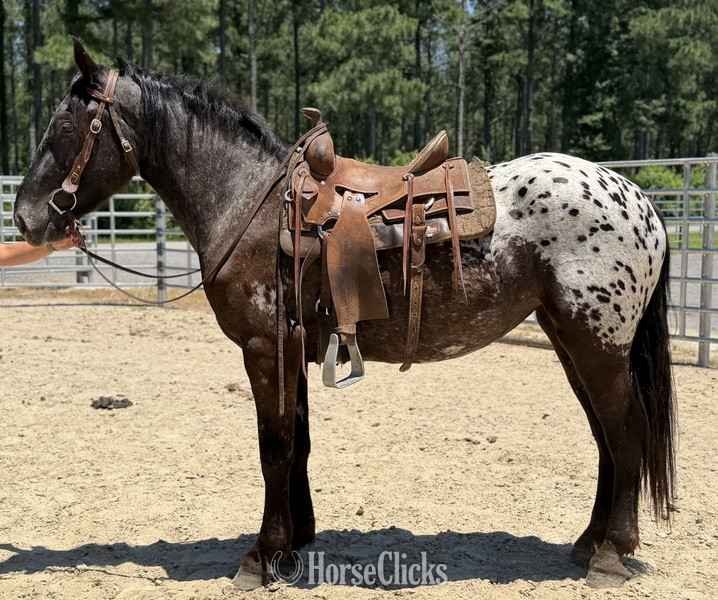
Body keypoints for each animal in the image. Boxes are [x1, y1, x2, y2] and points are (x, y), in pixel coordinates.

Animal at [14, 40, 675, 590]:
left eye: (64, 125)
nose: (25, 217)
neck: (248, 203)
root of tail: (639, 200)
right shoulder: (293, 351)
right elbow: (297, 444)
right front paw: (293, 546)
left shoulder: (264, 349)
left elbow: (274, 448)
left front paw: (260, 557)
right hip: (571, 343)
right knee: (607, 437)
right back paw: (588, 544)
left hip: (597, 346)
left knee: (627, 431)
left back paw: (610, 555)